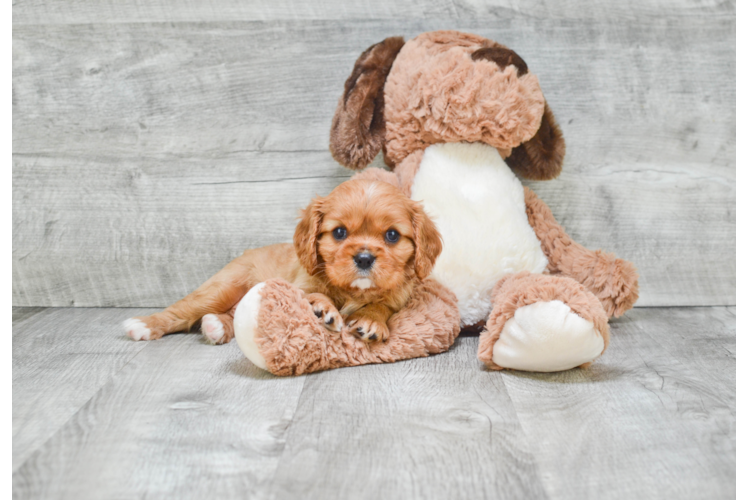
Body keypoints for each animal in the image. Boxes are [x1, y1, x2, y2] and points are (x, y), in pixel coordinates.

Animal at [121, 178, 438, 346]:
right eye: (339, 232)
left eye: (392, 235)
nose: (363, 257)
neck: (352, 291)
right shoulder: (299, 283)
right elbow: (313, 292)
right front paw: (322, 308)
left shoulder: (398, 298)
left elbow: (383, 306)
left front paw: (371, 320)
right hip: (221, 288)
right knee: (182, 309)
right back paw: (144, 324)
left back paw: (216, 326)